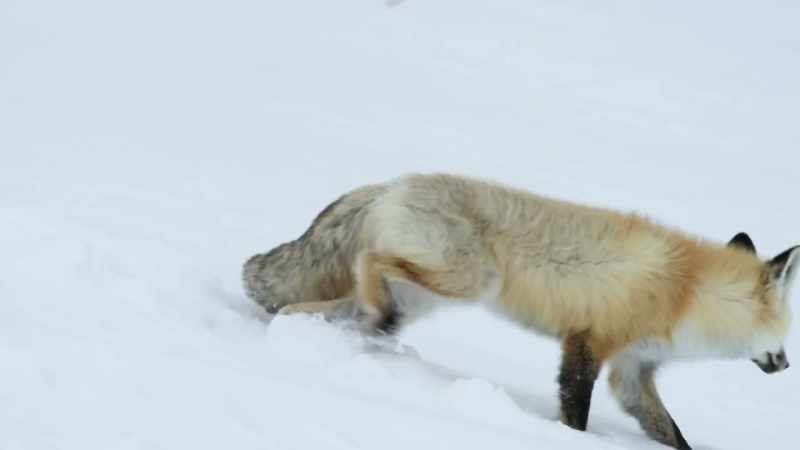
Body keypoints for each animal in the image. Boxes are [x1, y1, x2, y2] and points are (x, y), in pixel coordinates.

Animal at [243, 173, 798, 450]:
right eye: (787, 333)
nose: (787, 364)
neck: (686, 293)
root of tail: (394, 181)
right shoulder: (588, 342)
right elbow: (575, 411)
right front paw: (567, 441)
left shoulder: (632, 370)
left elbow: (672, 434)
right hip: (466, 279)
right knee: (368, 262)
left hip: (418, 298)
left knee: (308, 308)